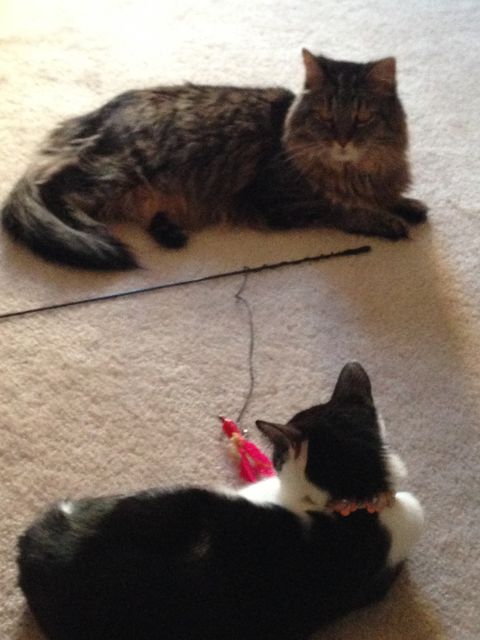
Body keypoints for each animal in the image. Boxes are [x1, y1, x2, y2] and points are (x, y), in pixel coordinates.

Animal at [2, 50, 427, 270]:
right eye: (325, 117)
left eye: (361, 118)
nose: (342, 140)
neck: (354, 170)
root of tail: (95, 115)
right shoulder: (281, 200)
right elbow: (343, 207)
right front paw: (386, 219)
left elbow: (387, 196)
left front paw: (408, 205)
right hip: (117, 171)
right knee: (45, 190)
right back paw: (88, 228)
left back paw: (170, 232)